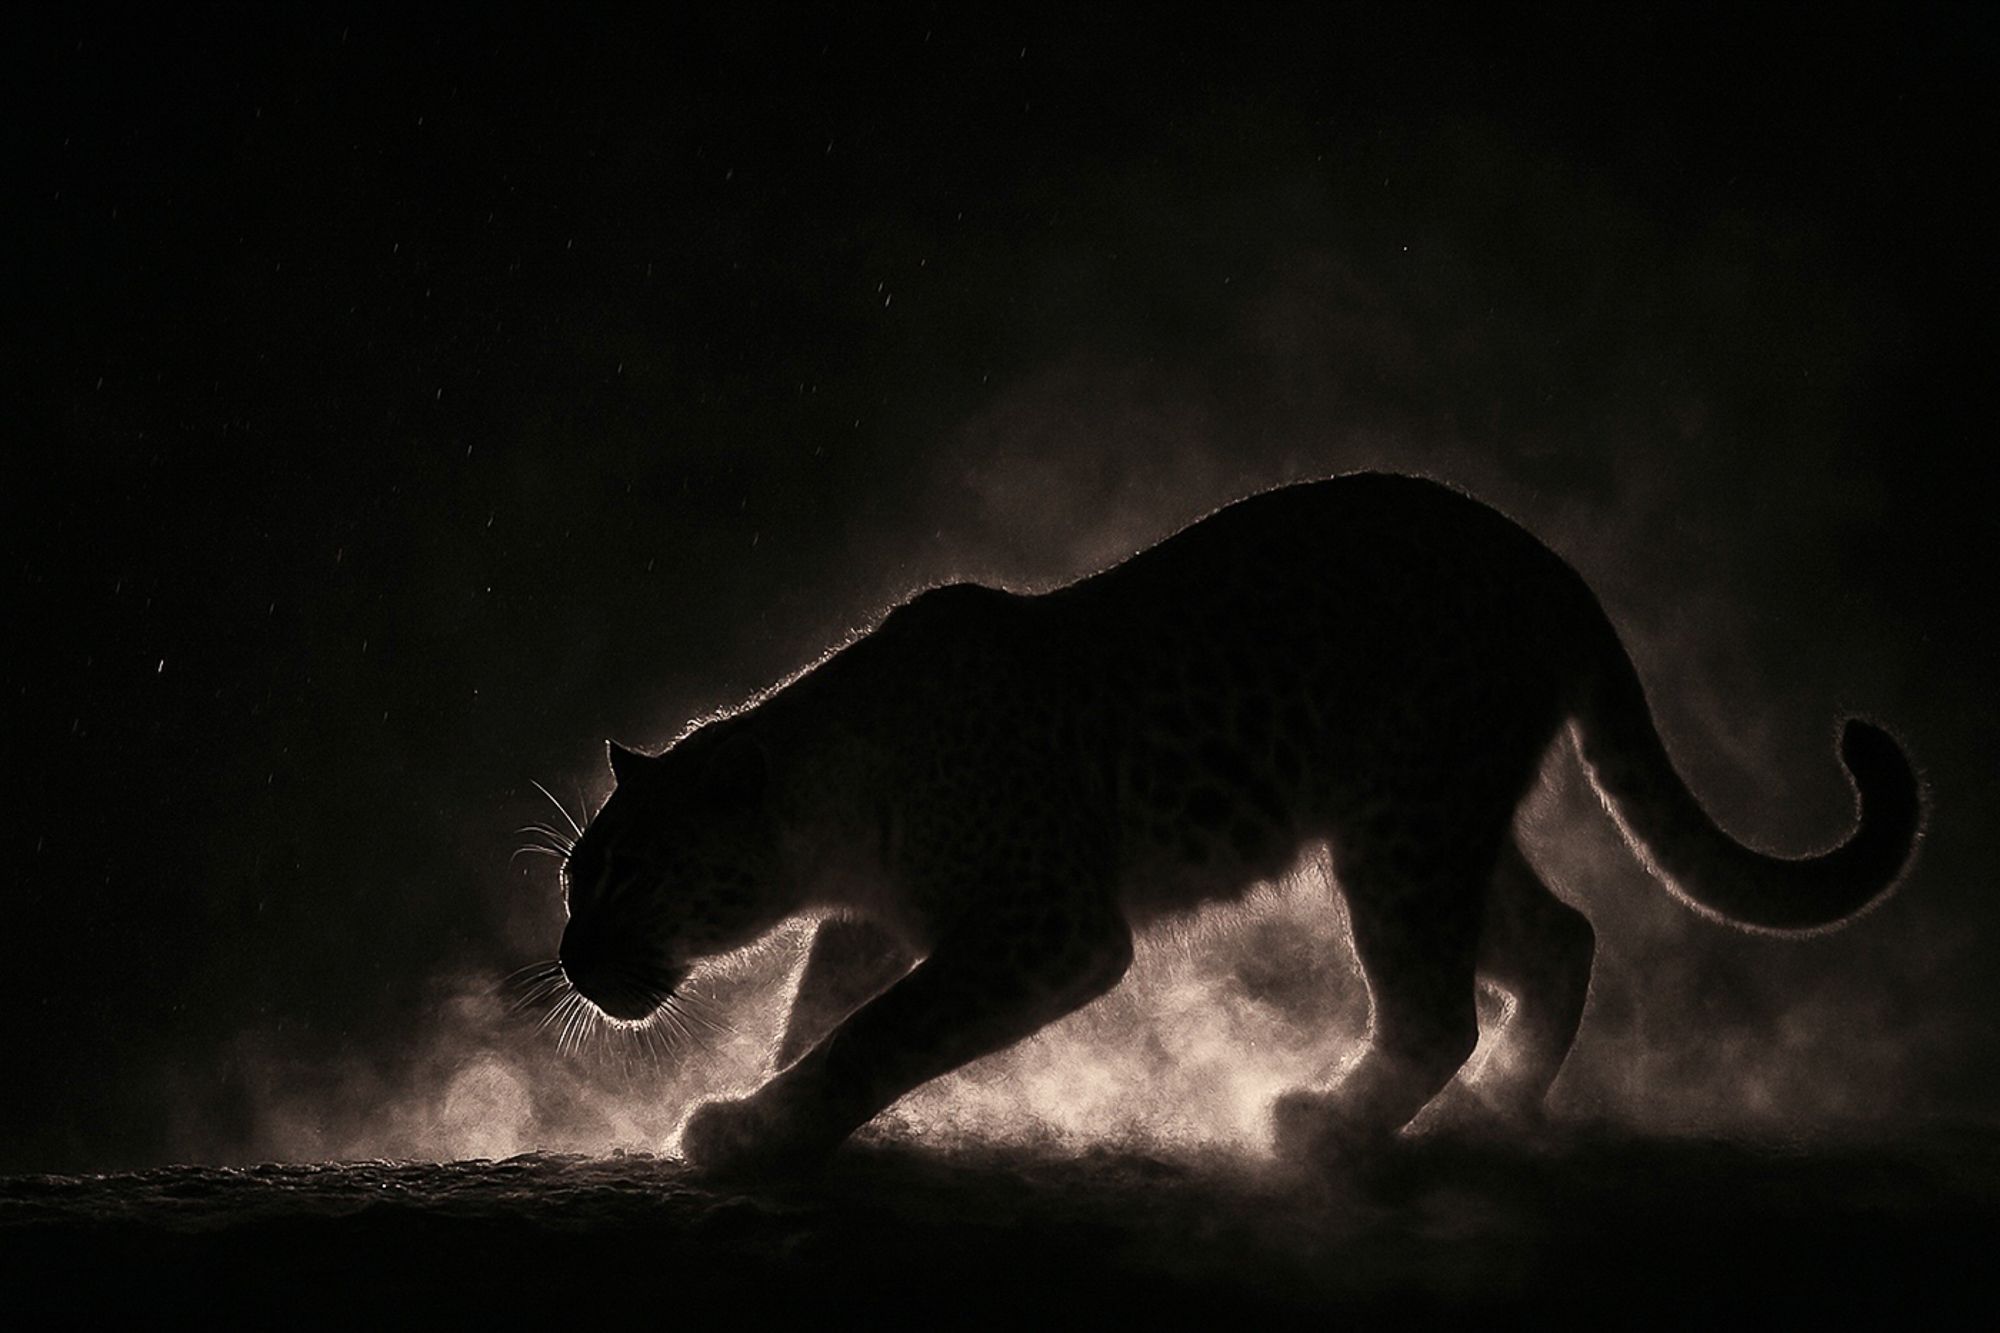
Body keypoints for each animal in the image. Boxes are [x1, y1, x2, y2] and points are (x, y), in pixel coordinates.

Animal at [549, 472, 1923, 1176]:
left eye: (623, 875)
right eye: (573, 878)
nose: (567, 960)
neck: (830, 800)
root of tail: (1545, 560)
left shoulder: (1048, 925)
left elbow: (880, 1030)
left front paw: (753, 1130)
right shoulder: (880, 920)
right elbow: (821, 1007)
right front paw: (759, 1097)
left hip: (1398, 827)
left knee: (1439, 1003)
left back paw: (1323, 1123)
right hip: (1440, 824)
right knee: (1559, 936)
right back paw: (1500, 1111)